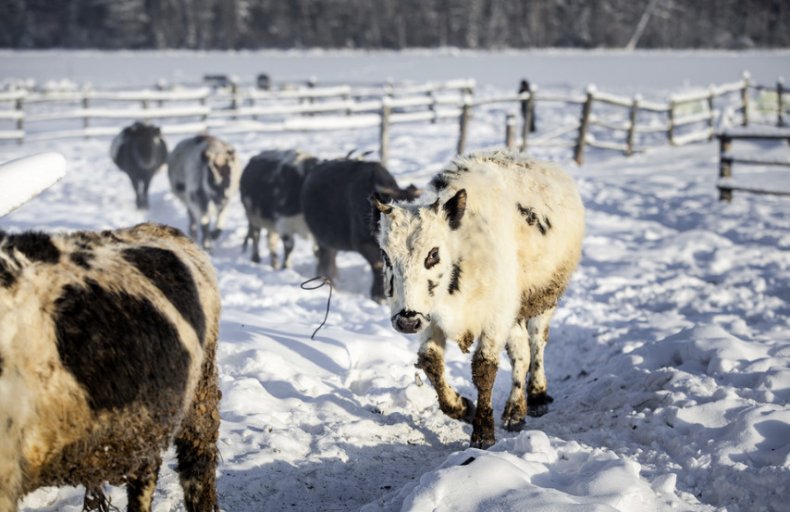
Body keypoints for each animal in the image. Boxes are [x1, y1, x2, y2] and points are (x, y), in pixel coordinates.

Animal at [374, 149, 584, 448]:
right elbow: (430, 361)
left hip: (544, 297)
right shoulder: (431, 317)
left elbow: (484, 367)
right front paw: (461, 406)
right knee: (520, 351)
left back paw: (536, 396)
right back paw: (515, 411)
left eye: (433, 253)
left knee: (537, 342)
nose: (406, 321)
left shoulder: (495, 317)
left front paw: (483, 432)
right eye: (385, 255)